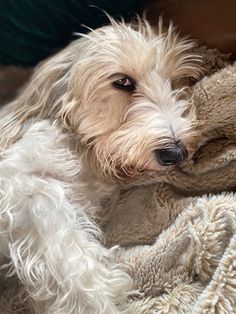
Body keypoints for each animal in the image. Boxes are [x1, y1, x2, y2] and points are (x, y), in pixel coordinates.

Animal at [0, 18, 202, 312]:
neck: (82, 151)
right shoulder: (23, 185)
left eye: (176, 81)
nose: (176, 153)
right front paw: (96, 302)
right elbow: (67, 253)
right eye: (123, 81)